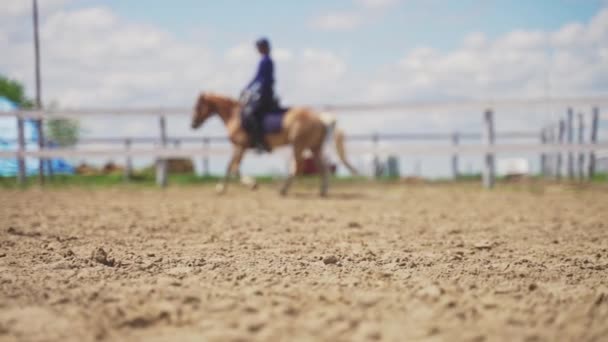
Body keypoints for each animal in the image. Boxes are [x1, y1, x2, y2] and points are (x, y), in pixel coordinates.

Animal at [192, 92, 358, 196]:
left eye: (198, 106)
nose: (192, 124)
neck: (234, 116)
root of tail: (320, 117)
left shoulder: (240, 146)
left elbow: (232, 168)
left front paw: (248, 184)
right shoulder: (240, 147)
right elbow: (232, 167)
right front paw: (227, 187)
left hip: (299, 145)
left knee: (298, 166)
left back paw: (283, 190)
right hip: (314, 147)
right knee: (323, 167)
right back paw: (322, 191)